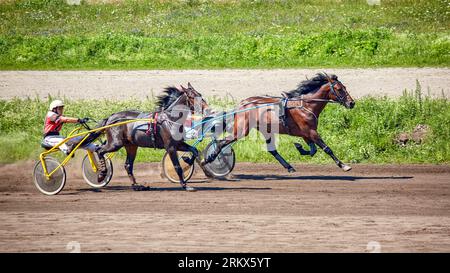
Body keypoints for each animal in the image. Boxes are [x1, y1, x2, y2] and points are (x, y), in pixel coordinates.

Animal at [203, 72, 356, 172]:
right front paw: (344, 166)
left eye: (345, 88)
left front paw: (299, 148)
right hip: (241, 130)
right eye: (339, 89)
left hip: (265, 130)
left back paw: (289, 167)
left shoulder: (305, 134)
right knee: (222, 142)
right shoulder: (311, 131)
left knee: (272, 150)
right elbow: (327, 148)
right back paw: (209, 158)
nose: (352, 103)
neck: (306, 106)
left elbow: (313, 150)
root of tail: (242, 105)